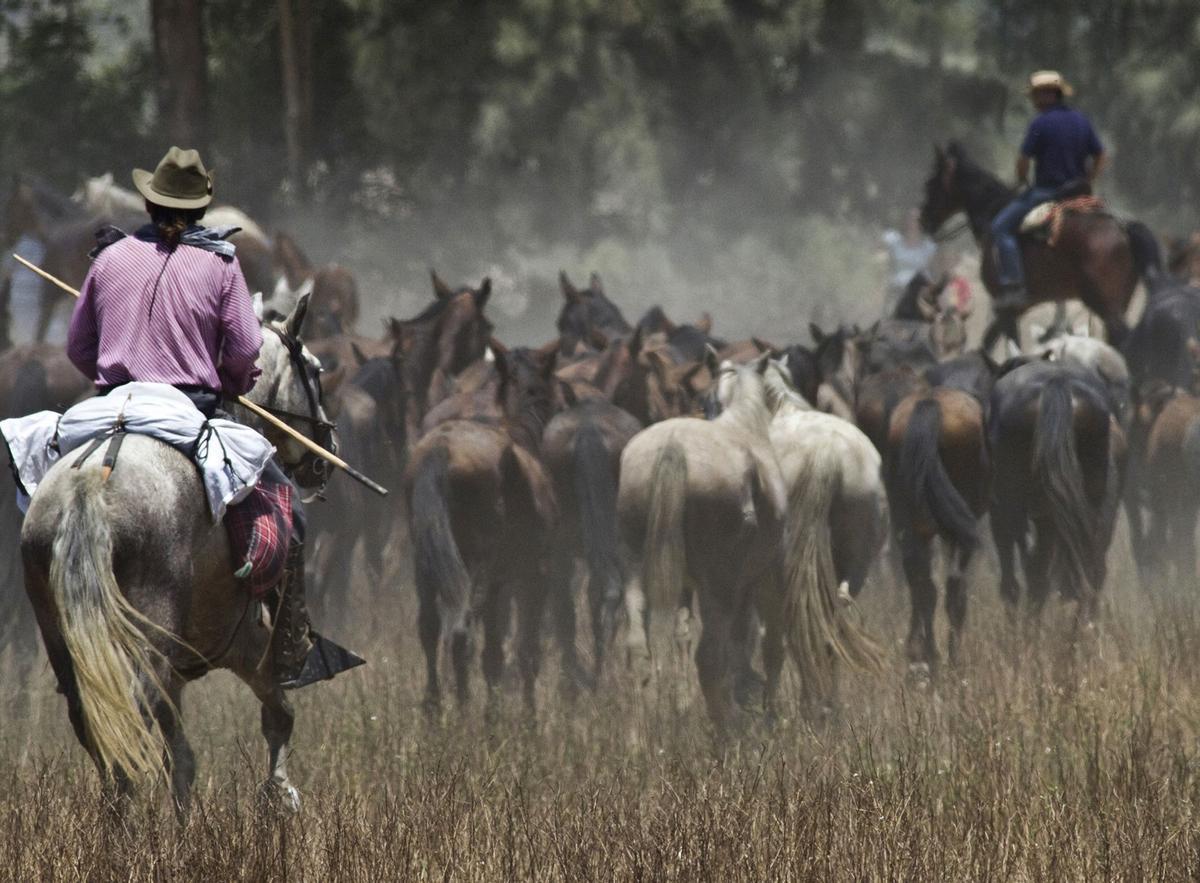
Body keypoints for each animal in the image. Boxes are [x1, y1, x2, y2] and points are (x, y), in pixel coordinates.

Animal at [18, 295, 336, 815]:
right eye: (314, 369)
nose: (326, 448)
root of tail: (89, 487)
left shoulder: (179, 676)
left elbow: (180, 759)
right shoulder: (245, 643)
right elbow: (279, 713)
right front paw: (280, 795)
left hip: (63, 634)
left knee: (99, 728)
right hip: (150, 635)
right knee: (131, 722)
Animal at [888, 386, 988, 667]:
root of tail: (930, 403)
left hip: (907, 522)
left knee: (922, 582)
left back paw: (923, 654)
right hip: (957, 531)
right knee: (953, 587)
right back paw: (951, 658)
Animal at [916, 143, 1161, 350]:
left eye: (929, 184)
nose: (923, 221)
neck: (993, 213)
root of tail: (1123, 227)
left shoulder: (1006, 309)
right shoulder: (1015, 309)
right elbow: (989, 342)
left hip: (1106, 305)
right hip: (1120, 303)